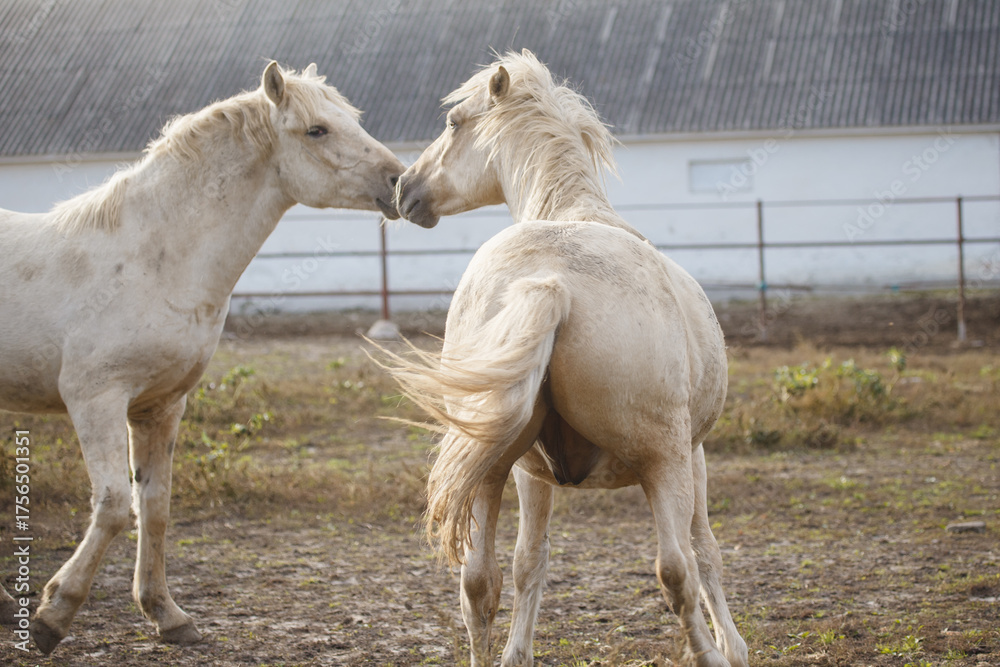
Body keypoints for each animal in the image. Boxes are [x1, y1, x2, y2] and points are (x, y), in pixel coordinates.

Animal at [0, 61, 403, 654]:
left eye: (353, 119)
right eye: (317, 130)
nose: (401, 180)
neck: (153, 260)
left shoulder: (161, 406)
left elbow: (156, 508)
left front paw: (166, 615)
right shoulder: (94, 398)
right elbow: (115, 506)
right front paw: (54, 615)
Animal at [388, 50, 749, 667]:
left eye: (455, 123)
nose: (405, 187)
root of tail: (549, 282)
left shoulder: (531, 474)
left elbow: (528, 563)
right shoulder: (693, 454)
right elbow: (706, 553)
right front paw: (734, 644)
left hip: (491, 465)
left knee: (478, 581)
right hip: (664, 462)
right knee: (676, 569)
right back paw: (710, 654)